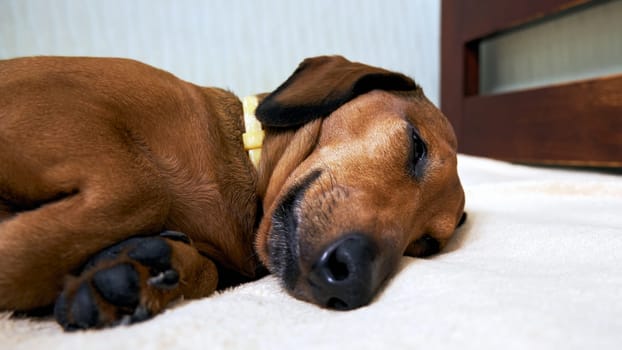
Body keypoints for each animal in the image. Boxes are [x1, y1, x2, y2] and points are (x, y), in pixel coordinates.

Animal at [0, 56, 466, 330]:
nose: (353, 283)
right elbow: (142, 188)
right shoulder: (54, 104)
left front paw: (138, 269)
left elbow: (205, 271)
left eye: (423, 245)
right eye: (417, 147)